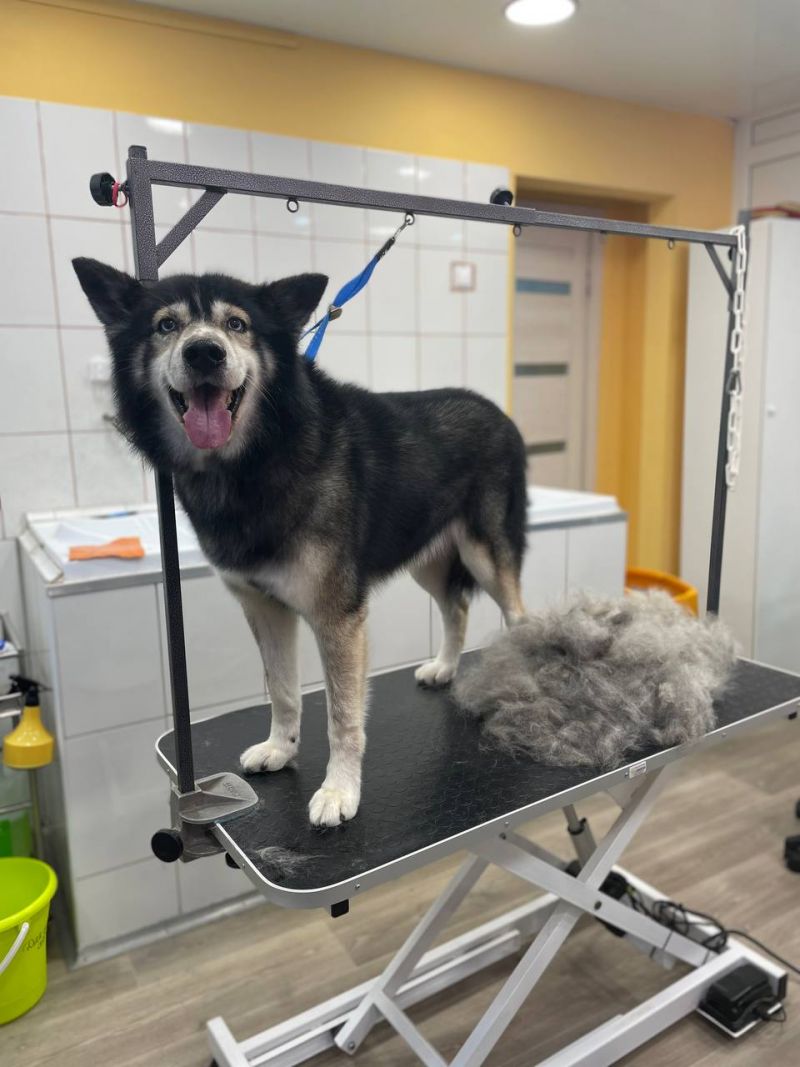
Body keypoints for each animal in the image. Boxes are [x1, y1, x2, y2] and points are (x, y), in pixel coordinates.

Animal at [72, 259, 528, 826]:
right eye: (165, 325)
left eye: (237, 324)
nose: (205, 352)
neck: (255, 459)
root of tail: (498, 412)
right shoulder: (264, 607)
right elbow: (284, 692)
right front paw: (280, 748)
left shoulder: (338, 617)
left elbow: (343, 717)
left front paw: (339, 791)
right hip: (429, 558)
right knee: (457, 608)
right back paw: (444, 668)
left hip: (486, 553)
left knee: (517, 613)